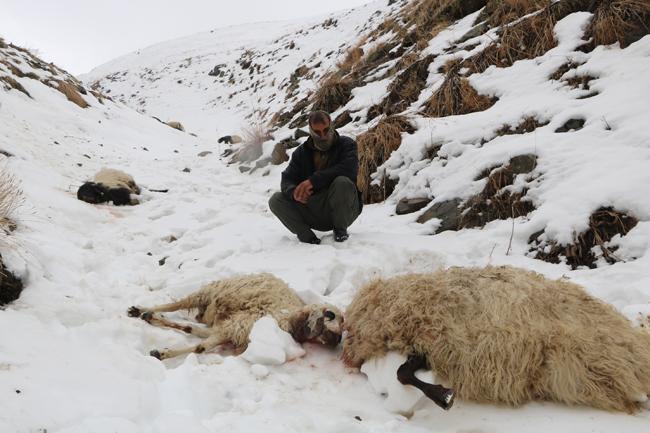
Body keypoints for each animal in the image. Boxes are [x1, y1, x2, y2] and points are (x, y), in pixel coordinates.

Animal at [124, 272, 342, 360]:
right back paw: (140, 309)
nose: (337, 340)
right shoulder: (234, 327)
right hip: (211, 292)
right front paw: (161, 353)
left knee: (192, 325)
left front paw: (162, 352)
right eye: (331, 315)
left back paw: (149, 316)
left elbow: (198, 341)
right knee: (177, 303)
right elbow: (200, 345)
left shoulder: (231, 329)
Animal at [340, 264, 648, 412]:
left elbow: (403, 373)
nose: (347, 359)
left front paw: (444, 396)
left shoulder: (441, 338)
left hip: (592, 358)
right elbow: (405, 371)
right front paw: (442, 394)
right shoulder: (436, 347)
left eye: (351, 329)